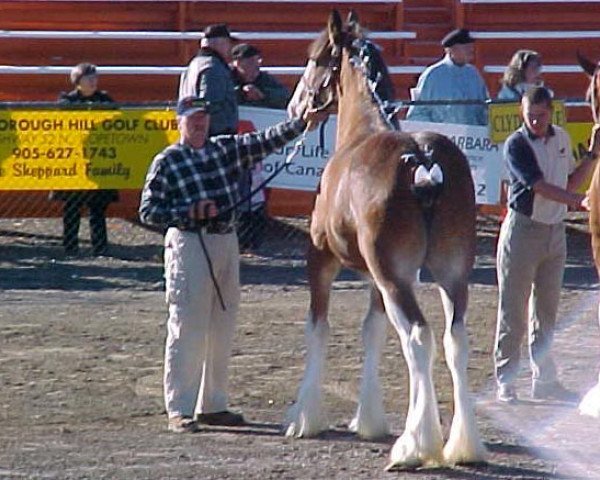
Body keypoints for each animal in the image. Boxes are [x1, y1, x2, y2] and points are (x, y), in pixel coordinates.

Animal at [284, 10, 486, 468]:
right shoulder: (378, 276)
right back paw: (462, 445)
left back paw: (415, 447)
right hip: (449, 276)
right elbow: (371, 331)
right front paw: (369, 419)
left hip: (396, 279)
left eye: (317, 59)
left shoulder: (322, 261)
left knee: (418, 338)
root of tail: (423, 161)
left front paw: (305, 417)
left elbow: (318, 328)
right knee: (454, 340)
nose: (296, 106)